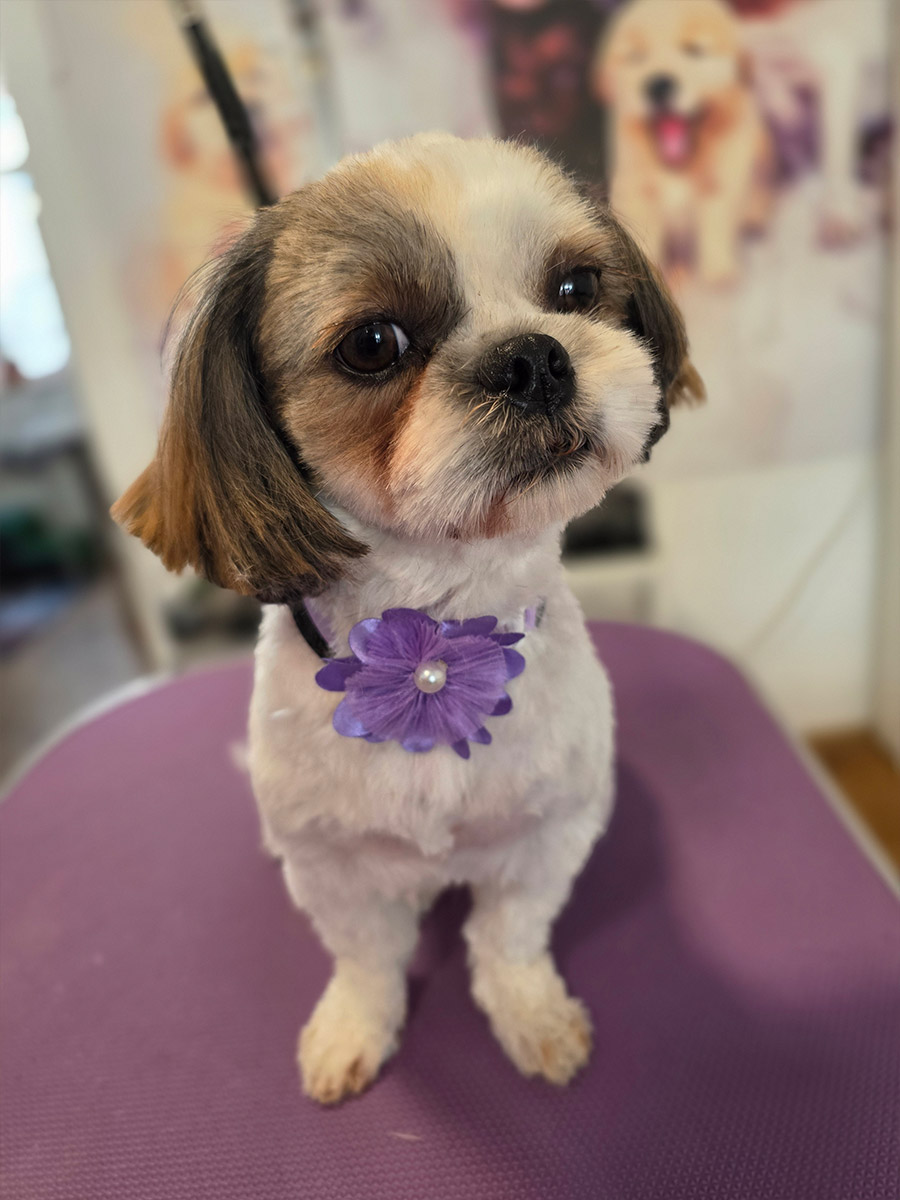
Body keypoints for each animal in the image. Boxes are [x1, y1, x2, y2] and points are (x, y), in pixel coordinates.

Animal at [113, 134, 702, 1105]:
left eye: (576, 287)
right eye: (373, 343)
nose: (534, 357)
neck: (436, 642)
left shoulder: (544, 838)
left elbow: (509, 938)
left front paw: (531, 1014)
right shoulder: (334, 870)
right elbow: (367, 960)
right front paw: (355, 1027)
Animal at [595, 0, 772, 284]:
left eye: (694, 50)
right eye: (636, 56)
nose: (657, 85)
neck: (677, 166)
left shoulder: (722, 183)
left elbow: (716, 226)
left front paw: (718, 274)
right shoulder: (635, 190)